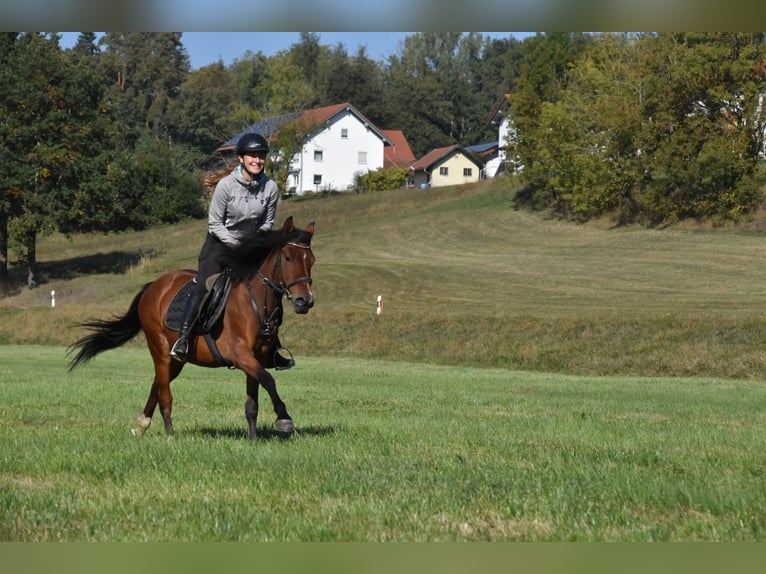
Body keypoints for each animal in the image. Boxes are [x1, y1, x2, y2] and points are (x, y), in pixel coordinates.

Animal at [67, 216, 315, 440]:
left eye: (311, 260)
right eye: (287, 258)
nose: (305, 301)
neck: (256, 301)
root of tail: (155, 285)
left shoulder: (255, 358)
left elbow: (253, 401)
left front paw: (253, 439)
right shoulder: (240, 355)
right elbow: (269, 380)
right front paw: (284, 419)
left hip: (177, 360)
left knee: (158, 385)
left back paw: (142, 424)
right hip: (160, 350)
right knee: (165, 394)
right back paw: (170, 435)